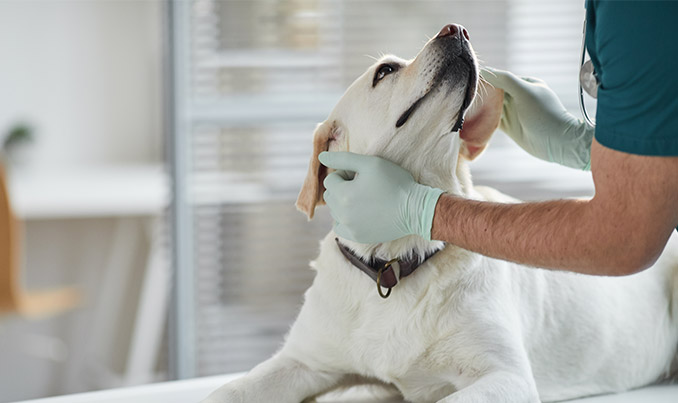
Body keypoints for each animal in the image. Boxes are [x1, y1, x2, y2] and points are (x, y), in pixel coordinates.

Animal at [202, 23, 678, 403]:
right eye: (385, 71)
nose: (457, 28)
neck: (393, 263)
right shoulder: (302, 361)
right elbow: (228, 391)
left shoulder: (505, 376)